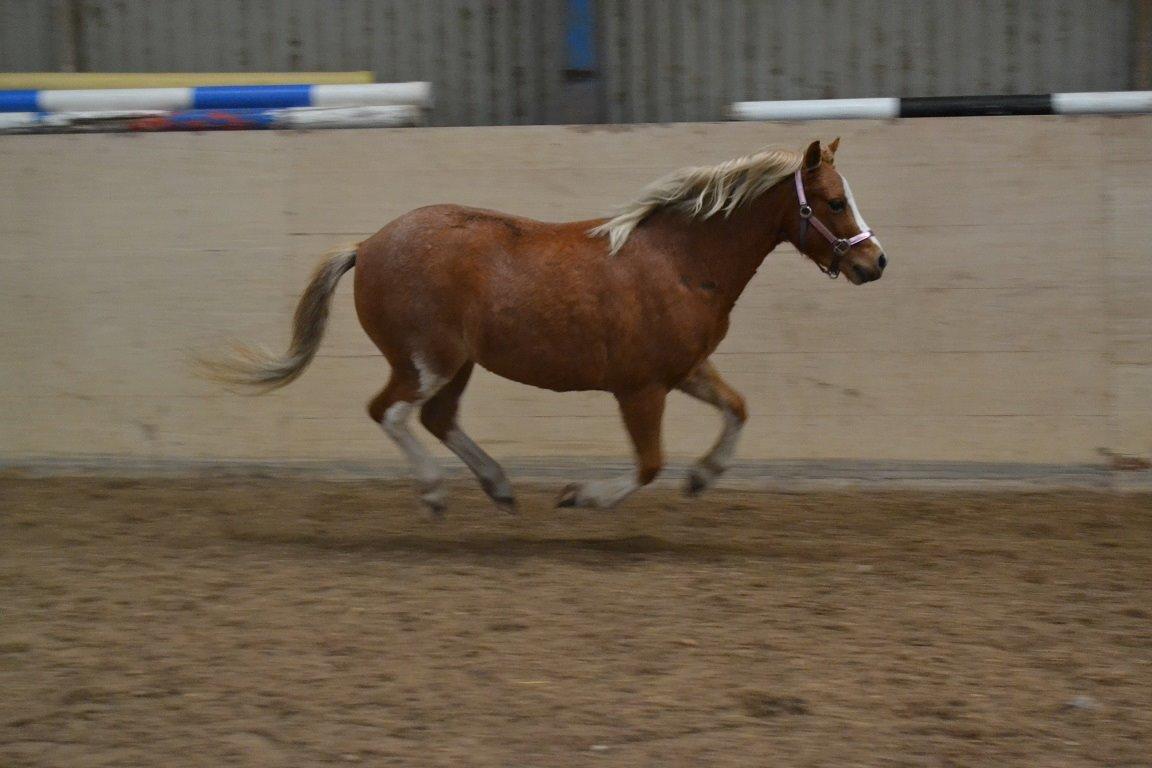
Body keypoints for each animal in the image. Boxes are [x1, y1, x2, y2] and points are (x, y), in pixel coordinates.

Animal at [207, 140, 884, 515]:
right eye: (833, 203)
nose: (874, 262)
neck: (680, 260)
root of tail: (367, 245)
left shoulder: (684, 370)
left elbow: (737, 409)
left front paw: (702, 478)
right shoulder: (640, 388)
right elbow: (648, 464)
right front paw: (582, 496)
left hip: (457, 365)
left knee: (436, 419)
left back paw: (500, 488)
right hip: (426, 361)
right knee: (392, 413)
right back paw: (435, 493)